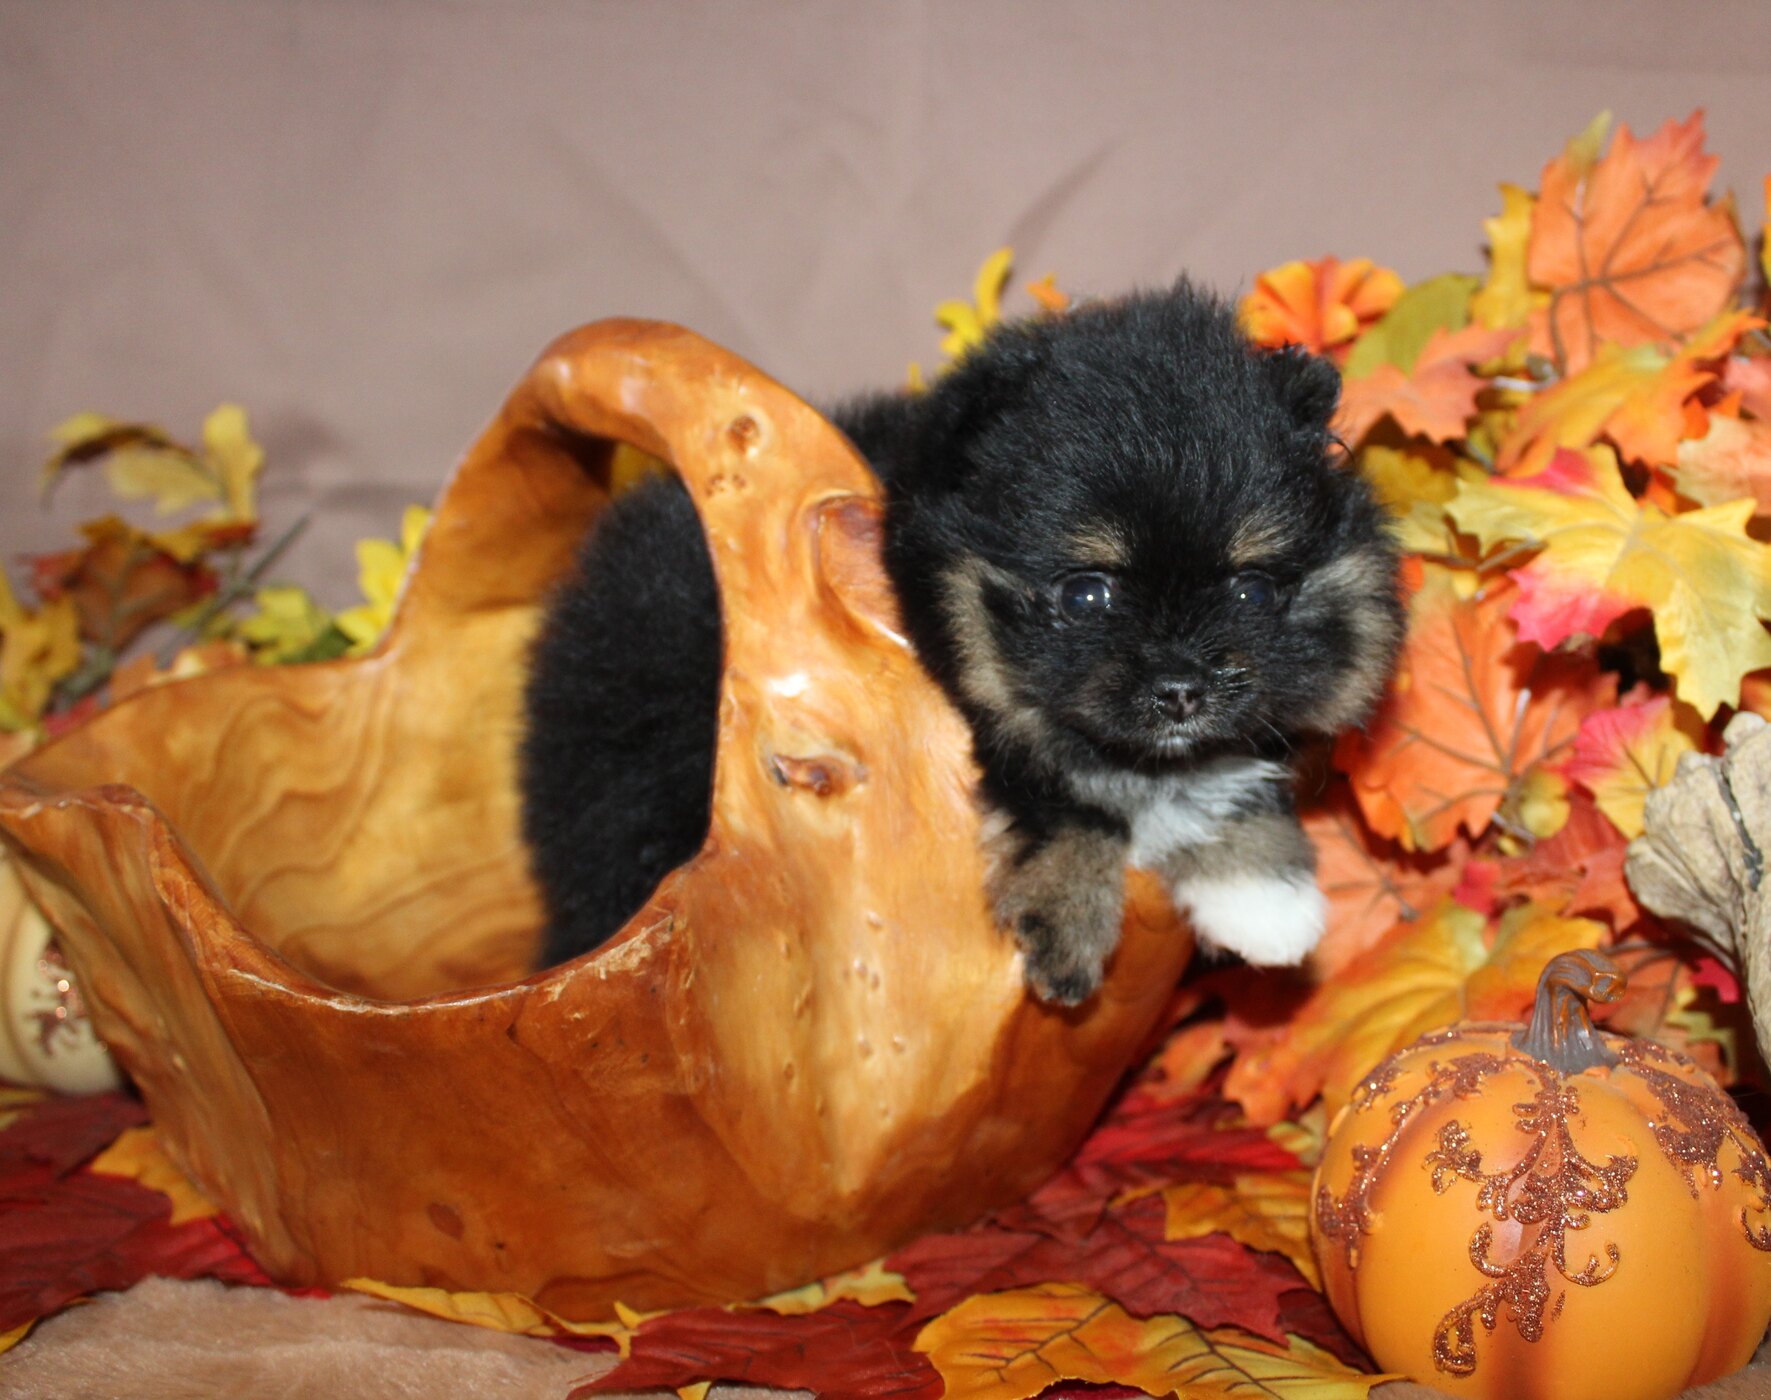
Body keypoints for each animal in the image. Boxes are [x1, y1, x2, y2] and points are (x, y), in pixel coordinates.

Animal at [520, 281, 1403, 1003]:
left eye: (1251, 591)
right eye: (1086, 594)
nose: (1181, 688)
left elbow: (1233, 773)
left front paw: (1265, 901)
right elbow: (1059, 796)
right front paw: (1068, 924)